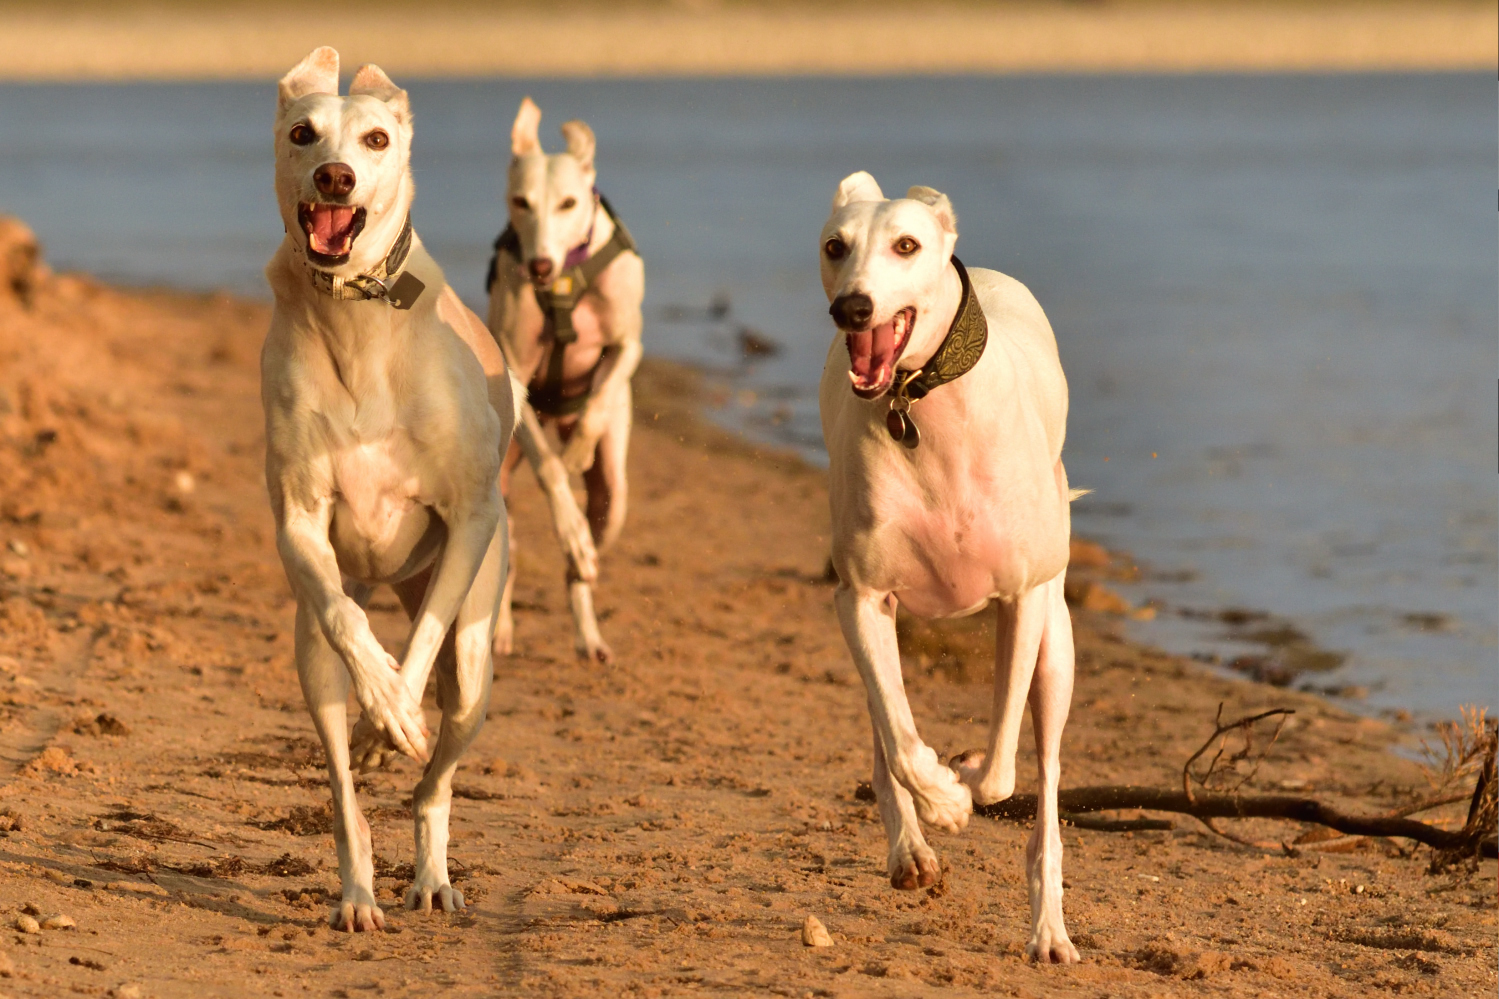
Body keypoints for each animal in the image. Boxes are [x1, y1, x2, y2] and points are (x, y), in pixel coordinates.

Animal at [259, 46, 515, 930]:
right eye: (303, 132)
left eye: (375, 138)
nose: (334, 176)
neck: (357, 320)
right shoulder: (299, 524)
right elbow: (346, 618)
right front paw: (380, 704)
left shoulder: (471, 517)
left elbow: (426, 638)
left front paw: (396, 711)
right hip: (310, 658)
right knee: (343, 784)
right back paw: (359, 889)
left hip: (478, 661)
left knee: (436, 770)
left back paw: (431, 873)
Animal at [821, 173, 1079, 966]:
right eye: (834, 245)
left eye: (906, 245)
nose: (853, 307)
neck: (921, 407)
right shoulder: (861, 597)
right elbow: (903, 745)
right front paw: (940, 799)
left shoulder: (1022, 599)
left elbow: (999, 773)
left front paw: (962, 778)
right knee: (885, 730)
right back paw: (910, 847)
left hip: (1056, 644)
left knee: (1042, 783)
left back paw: (1049, 930)